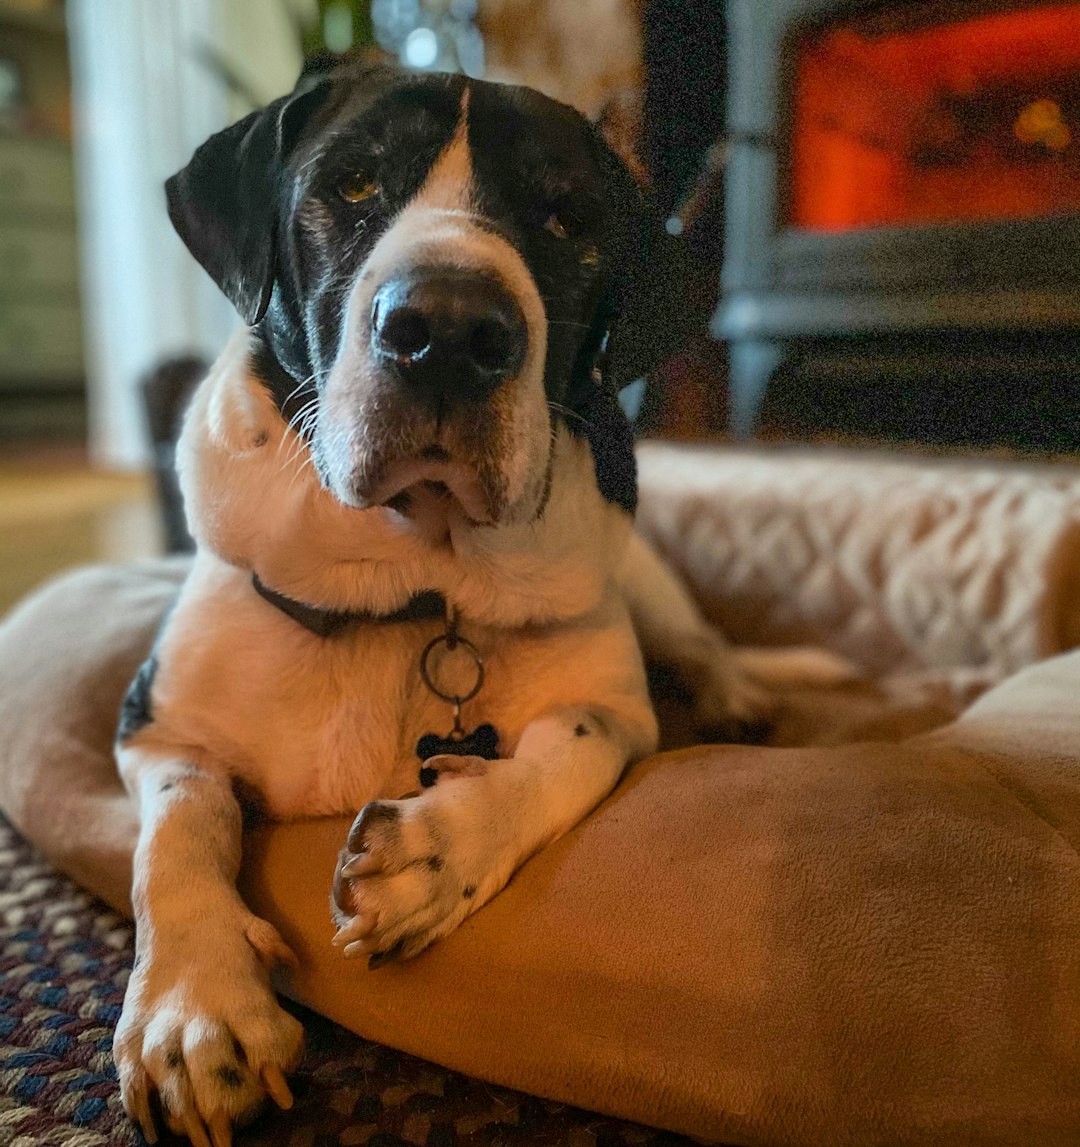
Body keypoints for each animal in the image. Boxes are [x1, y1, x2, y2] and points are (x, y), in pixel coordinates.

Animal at [107, 60, 843, 1147]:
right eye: (354, 184)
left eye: (564, 216)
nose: (448, 329)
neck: (410, 588)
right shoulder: (157, 726)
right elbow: (176, 835)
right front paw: (192, 1007)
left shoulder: (612, 705)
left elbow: (563, 747)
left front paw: (437, 846)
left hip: (650, 581)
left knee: (705, 642)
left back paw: (737, 695)